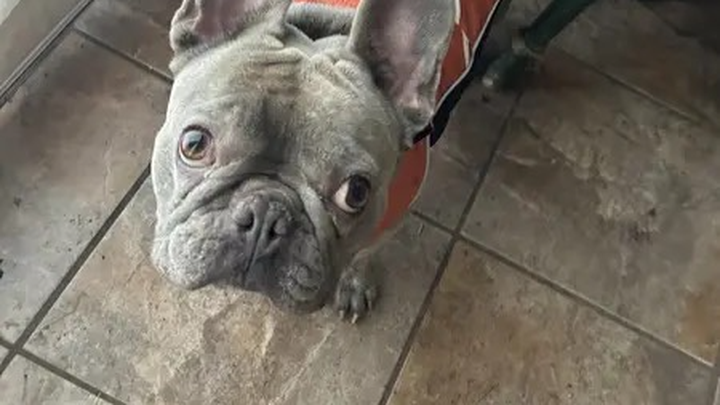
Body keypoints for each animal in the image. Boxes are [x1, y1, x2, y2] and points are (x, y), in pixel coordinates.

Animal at [150, 0, 502, 322]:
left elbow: (365, 252)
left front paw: (354, 283)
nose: (266, 214)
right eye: (194, 145)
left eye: (356, 193)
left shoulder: (390, 218)